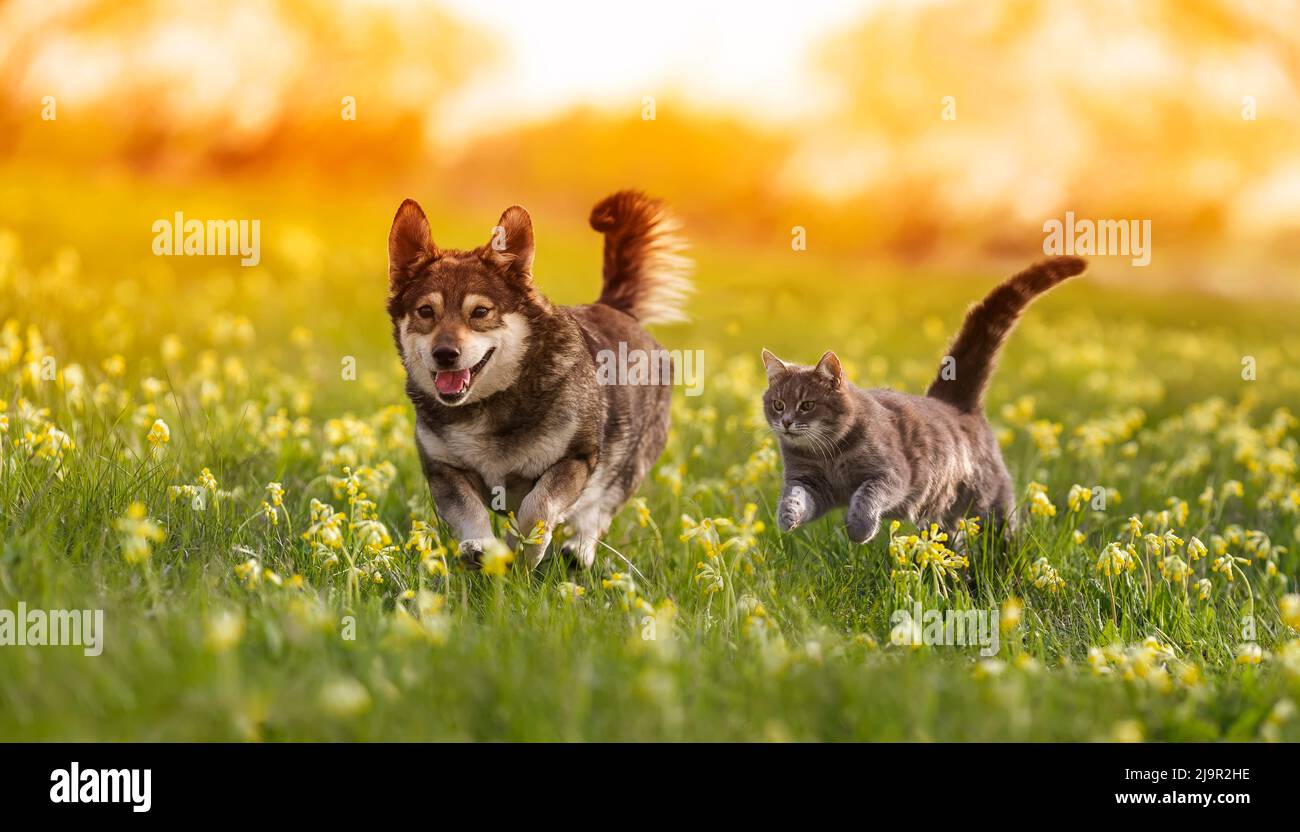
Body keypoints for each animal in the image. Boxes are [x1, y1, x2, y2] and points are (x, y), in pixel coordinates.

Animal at [384, 189, 691, 566]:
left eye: (480, 312)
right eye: (426, 311)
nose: (445, 354)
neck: (491, 404)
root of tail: (616, 308)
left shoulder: (575, 459)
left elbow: (538, 505)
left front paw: (524, 547)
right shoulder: (444, 469)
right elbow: (469, 509)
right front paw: (479, 546)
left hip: (631, 462)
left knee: (599, 509)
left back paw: (578, 549)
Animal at [759, 257, 1086, 543]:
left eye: (807, 405)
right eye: (778, 404)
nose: (786, 421)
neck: (827, 455)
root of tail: (956, 402)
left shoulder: (892, 475)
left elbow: (867, 496)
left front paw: (859, 529)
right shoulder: (808, 481)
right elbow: (796, 496)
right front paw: (787, 516)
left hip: (989, 501)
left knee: (1003, 529)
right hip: (944, 515)